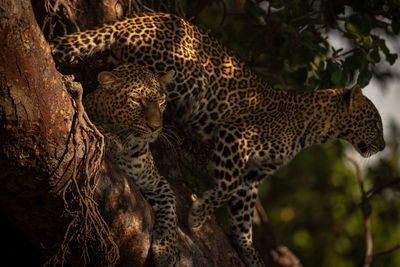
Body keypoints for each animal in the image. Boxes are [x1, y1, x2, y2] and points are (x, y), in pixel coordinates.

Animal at [82, 63, 177, 266]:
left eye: (161, 101)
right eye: (136, 100)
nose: (156, 128)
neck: (131, 144)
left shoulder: (155, 181)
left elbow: (171, 206)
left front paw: (167, 251)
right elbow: (92, 124)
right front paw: (111, 138)